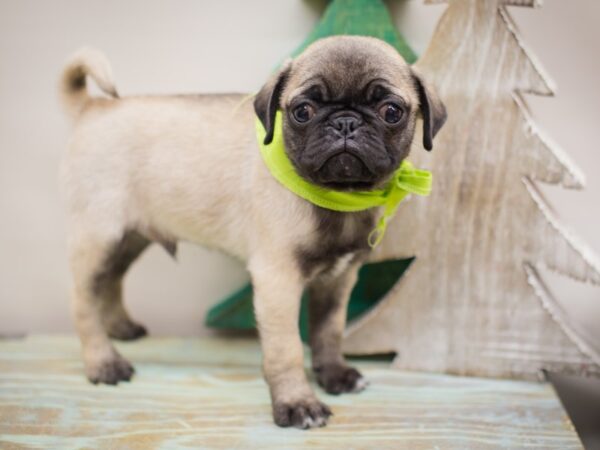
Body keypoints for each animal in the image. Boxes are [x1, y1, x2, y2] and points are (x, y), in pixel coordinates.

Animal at [61, 35, 446, 428]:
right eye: (302, 111)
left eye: (392, 111)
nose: (345, 123)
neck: (339, 194)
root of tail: (92, 108)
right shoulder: (278, 280)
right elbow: (287, 349)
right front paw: (297, 403)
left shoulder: (338, 281)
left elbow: (329, 332)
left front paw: (335, 374)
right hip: (100, 237)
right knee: (83, 299)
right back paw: (103, 362)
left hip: (129, 238)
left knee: (112, 280)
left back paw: (120, 328)